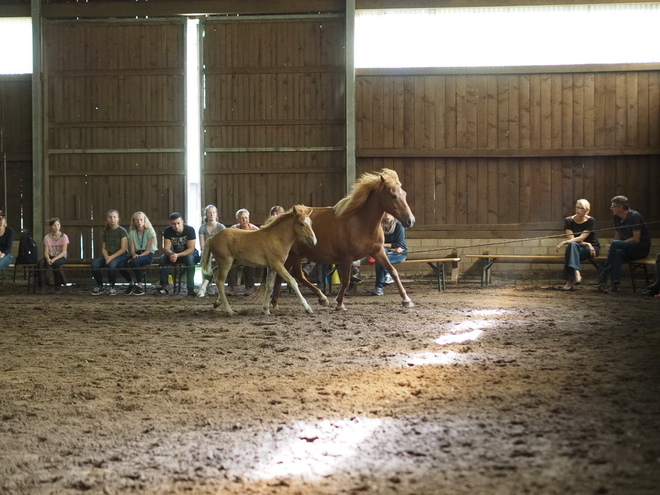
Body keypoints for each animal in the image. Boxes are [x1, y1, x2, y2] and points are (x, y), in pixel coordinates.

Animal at [270, 169, 416, 312]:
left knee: (287, 276)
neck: (360, 223)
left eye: (404, 194)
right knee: (295, 275)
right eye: (393, 195)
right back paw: (319, 298)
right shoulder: (346, 258)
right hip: (294, 255)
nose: (410, 220)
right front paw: (339, 303)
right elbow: (345, 280)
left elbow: (393, 271)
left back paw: (277, 303)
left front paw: (406, 300)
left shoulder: (378, 251)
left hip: (293, 256)